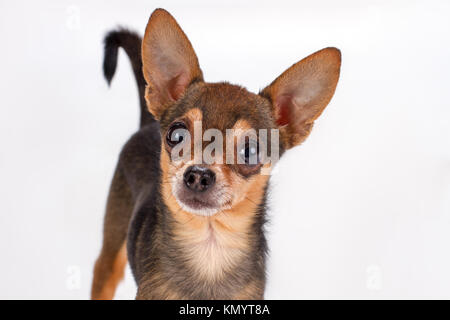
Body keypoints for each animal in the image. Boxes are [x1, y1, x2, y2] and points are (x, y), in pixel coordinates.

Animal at [89, 8, 340, 300]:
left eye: (249, 151)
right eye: (177, 136)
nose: (198, 175)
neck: (210, 249)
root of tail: (147, 123)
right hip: (112, 249)